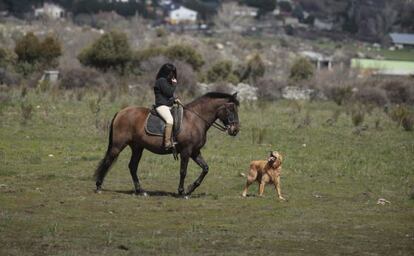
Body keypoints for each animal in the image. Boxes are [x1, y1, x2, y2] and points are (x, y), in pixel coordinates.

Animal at [94, 92, 241, 196]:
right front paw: (182, 192)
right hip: (118, 146)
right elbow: (183, 171)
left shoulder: (195, 152)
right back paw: (98, 186)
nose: (235, 130)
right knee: (108, 161)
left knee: (132, 166)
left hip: (137, 147)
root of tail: (121, 112)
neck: (195, 119)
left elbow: (205, 168)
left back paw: (140, 191)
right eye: (231, 109)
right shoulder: (186, 151)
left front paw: (190, 189)